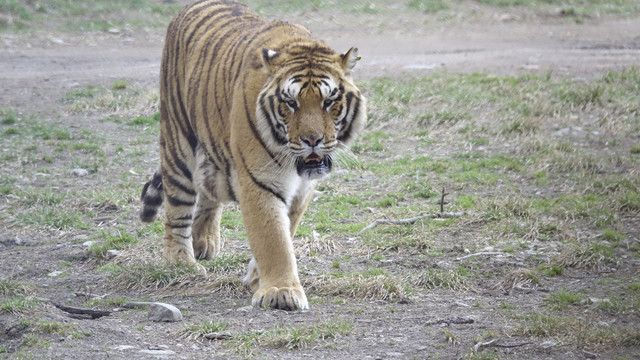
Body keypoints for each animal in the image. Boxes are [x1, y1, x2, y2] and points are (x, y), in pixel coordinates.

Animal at [141, 0, 364, 310]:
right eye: (290, 102)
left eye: (329, 101)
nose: (312, 140)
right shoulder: (260, 181)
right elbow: (273, 239)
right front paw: (281, 291)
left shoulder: (302, 189)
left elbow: (287, 230)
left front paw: (259, 278)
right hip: (178, 142)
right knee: (177, 208)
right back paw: (180, 262)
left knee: (208, 191)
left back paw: (204, 241)